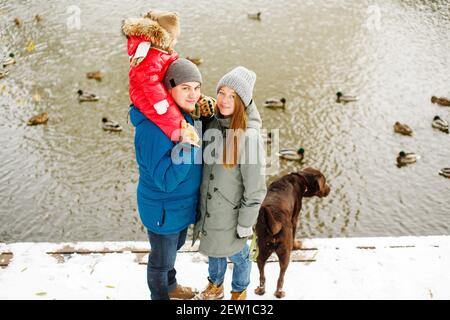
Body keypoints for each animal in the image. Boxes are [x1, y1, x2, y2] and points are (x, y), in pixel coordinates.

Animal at [253, 168, 330, 298]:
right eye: (324, 182)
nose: (330, 189)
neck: (300, 178)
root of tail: (275, 225)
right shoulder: (294, 218)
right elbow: (294, 235)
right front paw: (296, 245)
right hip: (285, 253)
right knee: (281, 277)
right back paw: (279, 292)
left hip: (262, 249)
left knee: (262, 273)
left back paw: (261, 290)